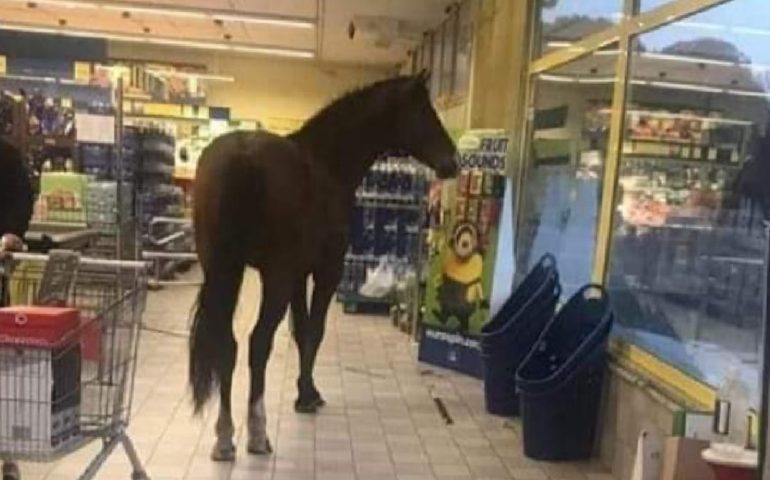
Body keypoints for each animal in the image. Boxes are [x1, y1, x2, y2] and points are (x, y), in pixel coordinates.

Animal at [190, 73, 460, 460]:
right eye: (424, 110)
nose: (454, 161)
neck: (326, 163)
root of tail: (242, 155)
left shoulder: (298, 276)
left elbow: (301, 331)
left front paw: (307, 391)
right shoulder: (324, 272)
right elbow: (314, 331)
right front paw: (307, 397)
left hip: (225, 272)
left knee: (227, 344)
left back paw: (225, 437)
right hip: (273, 278)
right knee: (258, 343)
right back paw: (257, 432)